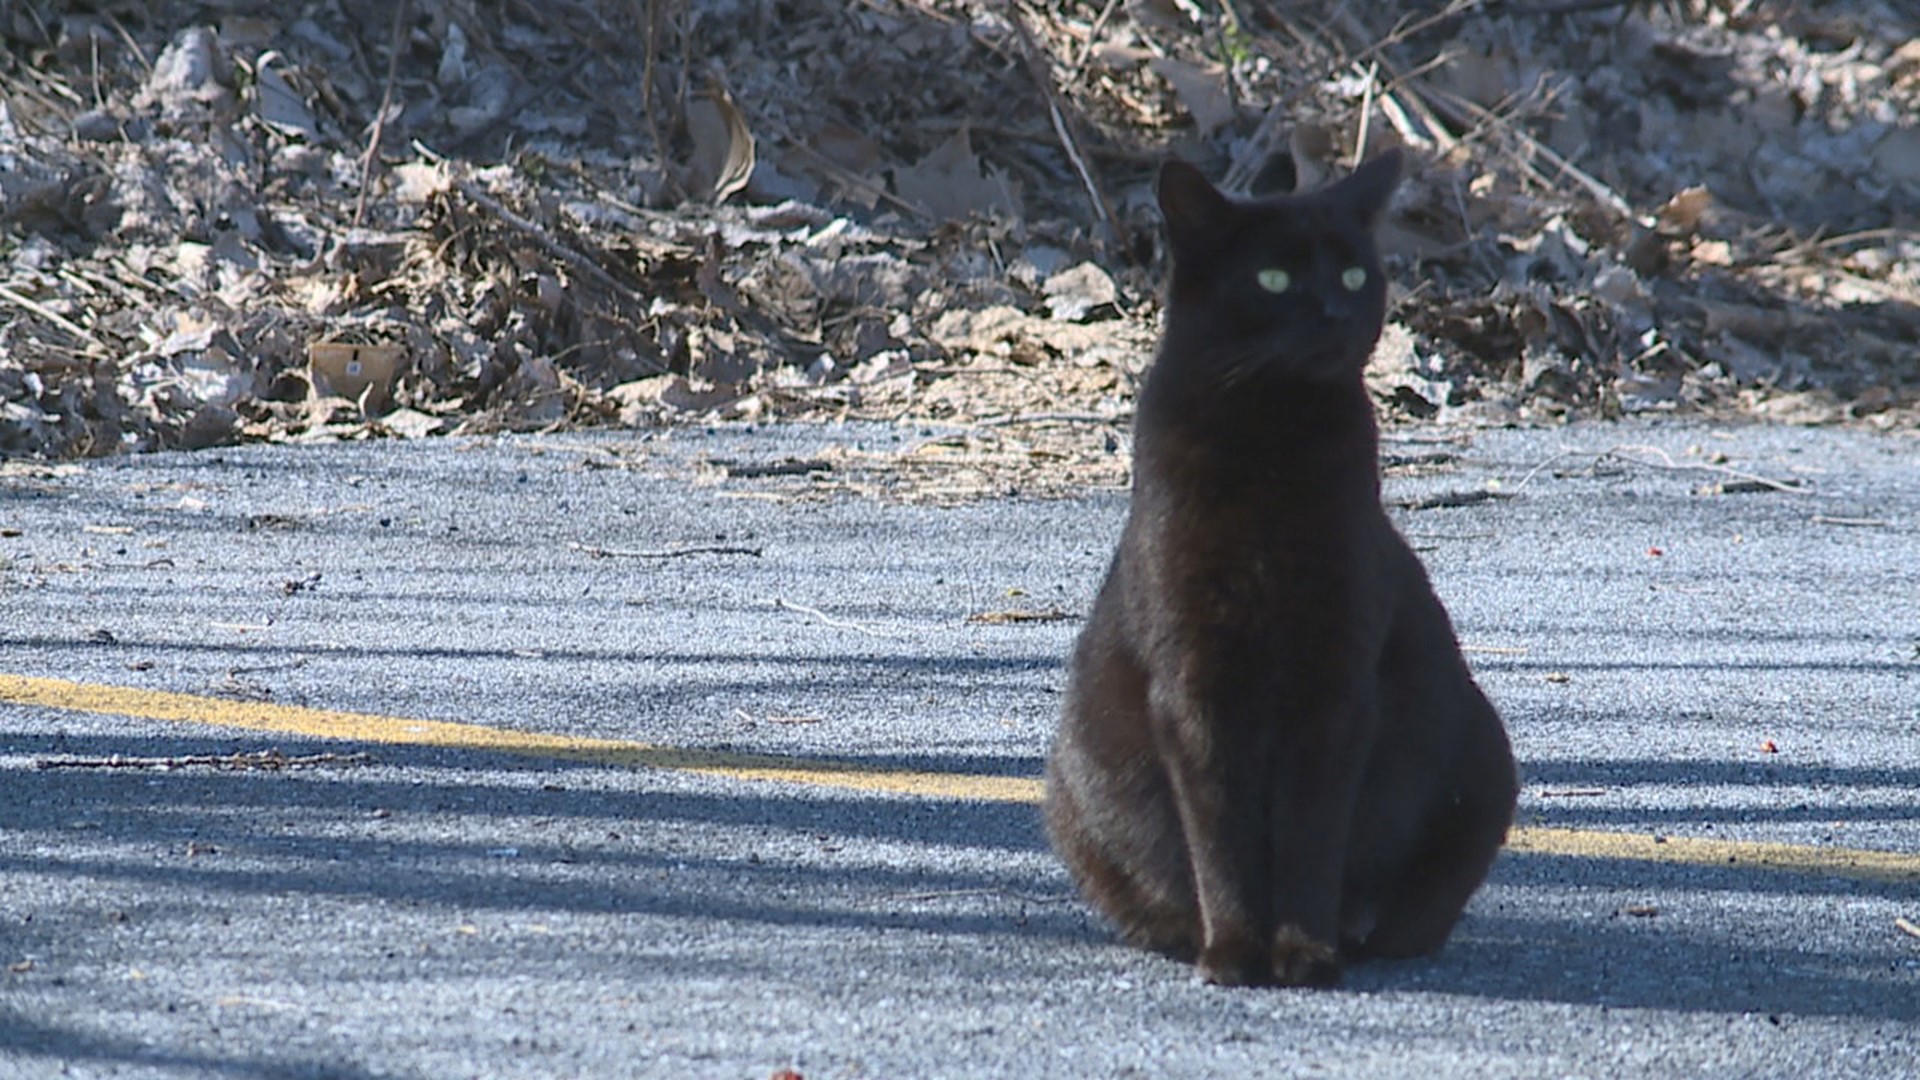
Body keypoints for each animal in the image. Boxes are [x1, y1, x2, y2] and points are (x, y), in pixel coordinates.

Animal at [1052, 151, 1512, 983]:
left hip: (1487, 765)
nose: (1333, 311)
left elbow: (1310, 836)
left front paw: (1302, 952)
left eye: (1356, 275)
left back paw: (1359, 937)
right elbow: (1220, 837)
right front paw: (1235, 951)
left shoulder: (1337, 680)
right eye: (1272, 279)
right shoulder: (1195, 680)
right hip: (1073, 792)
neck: (1272, 443)